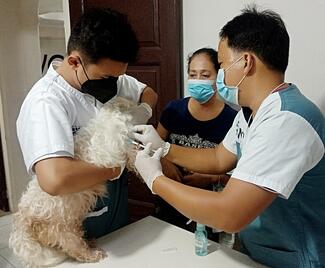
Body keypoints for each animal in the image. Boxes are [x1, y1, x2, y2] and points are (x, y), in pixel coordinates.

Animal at [9, 97, 139, 266]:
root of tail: (23, 219)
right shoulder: (107, 152)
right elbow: (126, 152)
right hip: (63, 231)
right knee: (74, 249)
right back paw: (92, 254)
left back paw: (90, 242)